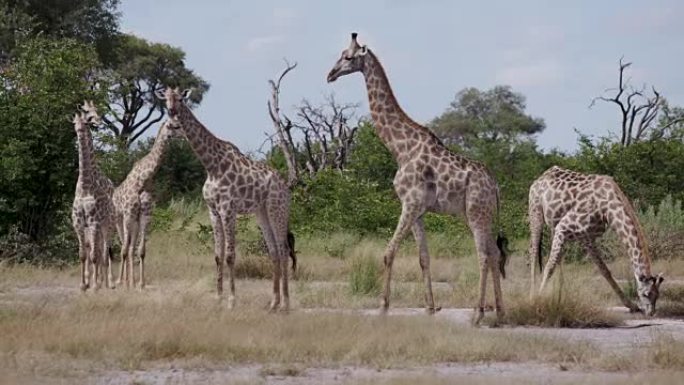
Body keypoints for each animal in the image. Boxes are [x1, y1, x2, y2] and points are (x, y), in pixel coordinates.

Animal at [109, 118, 180, 286]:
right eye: (174, 126)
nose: (183, 136)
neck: (143, 180)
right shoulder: (128, 215)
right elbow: (125, 249)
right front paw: (123, 282)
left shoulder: (145, 215)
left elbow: (140, 251)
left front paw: (140, 283)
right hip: (119, 219)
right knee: (123, 246)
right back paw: (121, 280)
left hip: (134, 221)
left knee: (130, 246)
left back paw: (130, 279)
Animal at [155, 86, 294, 308]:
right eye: (165, 98)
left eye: (180, 98)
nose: (171, 113)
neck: (211, 166)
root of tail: (285, 187)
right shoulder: (212, 210)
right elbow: (217, 256)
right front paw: (218, 298)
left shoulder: (228, 209)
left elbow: (229, 255)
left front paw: (231, 300)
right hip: (261, 212)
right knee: (273, 251)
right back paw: (273, 303)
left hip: (277, 209)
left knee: (283, 249)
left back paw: (286, 304)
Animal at [326, 33, 508, 322]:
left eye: (348, 57)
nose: (330, 74)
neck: (400, 148)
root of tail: (495, 187)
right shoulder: (419, 210)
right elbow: (424, 258)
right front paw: (430, 308)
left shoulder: (409, 203)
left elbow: (389, 252)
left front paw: (382, 306)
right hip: (482, 214)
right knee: (494, 253)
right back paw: (499, 313)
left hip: (476, 213)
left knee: (482, 255)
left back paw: (478, 314)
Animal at [528, 166, 664, 314]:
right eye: (646, 294)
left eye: (658, 295)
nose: (650, 313)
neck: (607, 209)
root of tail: (541, 177)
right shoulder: (564, 227)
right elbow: (549, 267)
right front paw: (538, 300)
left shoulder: (586, 237)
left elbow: (605, 271)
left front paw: (632, 305)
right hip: (536, 213)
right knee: (534, 253)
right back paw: (533, 293)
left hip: (554, 226)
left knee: (557, 258)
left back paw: (560, 294)